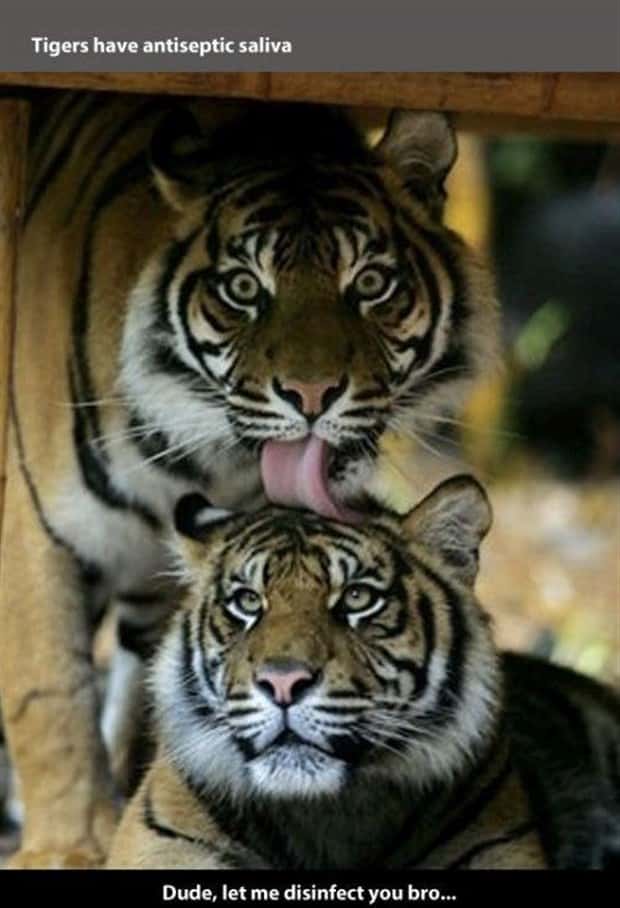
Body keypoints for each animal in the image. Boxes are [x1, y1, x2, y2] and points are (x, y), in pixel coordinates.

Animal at [0, 92, 498, 868]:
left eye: (371, 284)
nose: (312, 395)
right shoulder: (33, 528)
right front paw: (69, 845)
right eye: (243, 290)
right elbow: (48, 694)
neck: (208, 462)